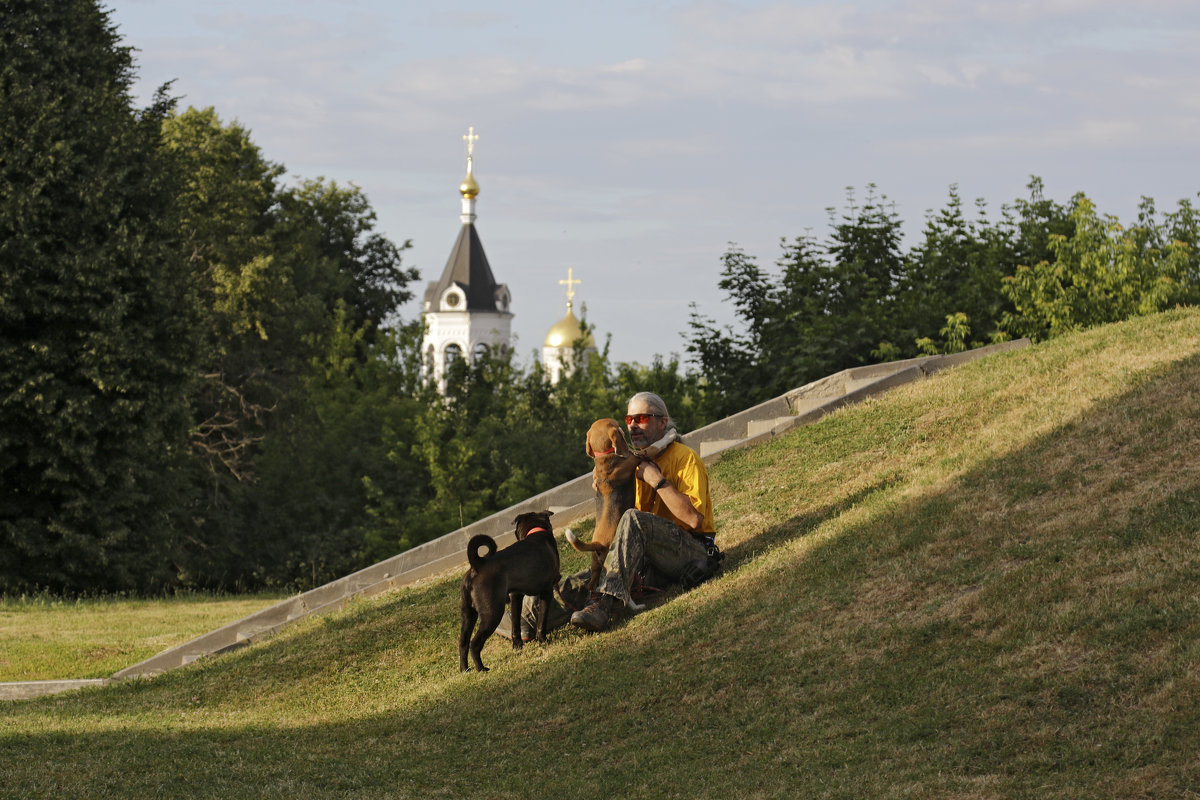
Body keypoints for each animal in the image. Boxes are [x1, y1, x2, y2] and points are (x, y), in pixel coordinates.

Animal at [458, 510, 561, 671]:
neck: (536, 531)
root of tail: (477, 566)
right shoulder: (546, 591)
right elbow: (541, 621)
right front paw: (542, 641)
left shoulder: (516, 596)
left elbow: (515, 626)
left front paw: (517, 646)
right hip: (492, 613)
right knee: (474, 644)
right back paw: (481, 669)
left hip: (469, 614)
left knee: (463, 642)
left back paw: (465, 669)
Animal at [566, 419, 643, 606]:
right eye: (614, 422)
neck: (603, 456)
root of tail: (598, 544)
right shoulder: (638, 457)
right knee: (623, 589)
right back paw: (636, 605)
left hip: (595, 565)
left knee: (592, 585)